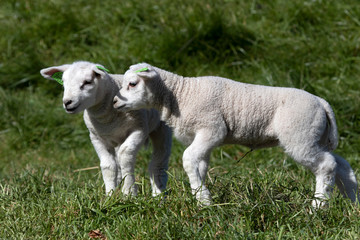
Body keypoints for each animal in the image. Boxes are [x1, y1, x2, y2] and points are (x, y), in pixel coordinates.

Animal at [40, 61, 172, 197]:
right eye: (63, 82)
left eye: (87, 82)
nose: (67, 102)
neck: (106, 119)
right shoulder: (96, 137)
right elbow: (108, 165)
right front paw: (110, 194)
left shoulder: (139, 129)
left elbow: (125, 156)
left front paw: (129, 192)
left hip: (162, 129)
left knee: (159, 162)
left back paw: (158, 194)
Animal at [113, 62, 360, 208]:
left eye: (132, 84)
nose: (115, 102)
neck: (181, 95)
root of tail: (322, 102)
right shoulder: (204, 137)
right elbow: (200, 164)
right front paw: (201, 196)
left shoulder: (212, 128)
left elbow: (188, 159)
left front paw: (203, 199)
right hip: (316, 137)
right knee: (341, 164)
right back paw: (352, 202)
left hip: (300, 136)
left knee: (327, 165)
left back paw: (318, 206)